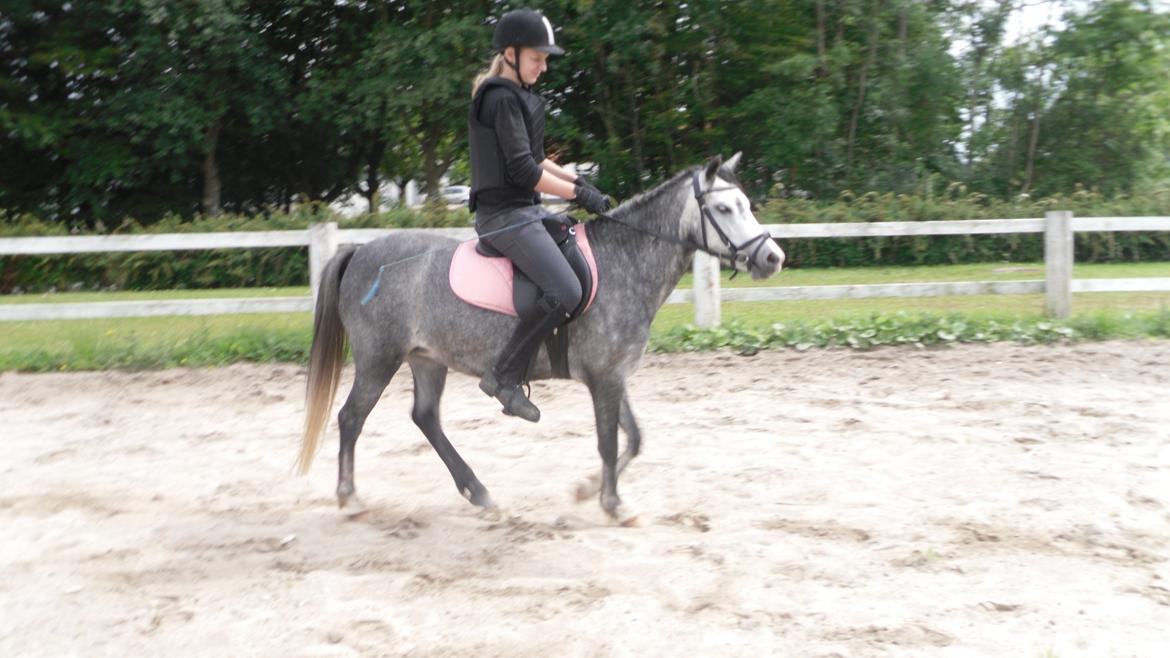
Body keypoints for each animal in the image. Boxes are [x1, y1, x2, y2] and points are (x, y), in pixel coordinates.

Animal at [297, 152, 781, 517]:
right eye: (724, 209)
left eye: (746, 204)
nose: (773, 257)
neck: (624, 260)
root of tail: (360, 251)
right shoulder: (604, 378)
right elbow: (609, 441)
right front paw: (612, 504)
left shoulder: (613, 374)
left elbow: (634, 437)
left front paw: (588, 490)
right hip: (379, 358)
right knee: (352, 418)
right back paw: (350, 498)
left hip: (427, 358)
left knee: (426, 417)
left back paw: (477, 491)